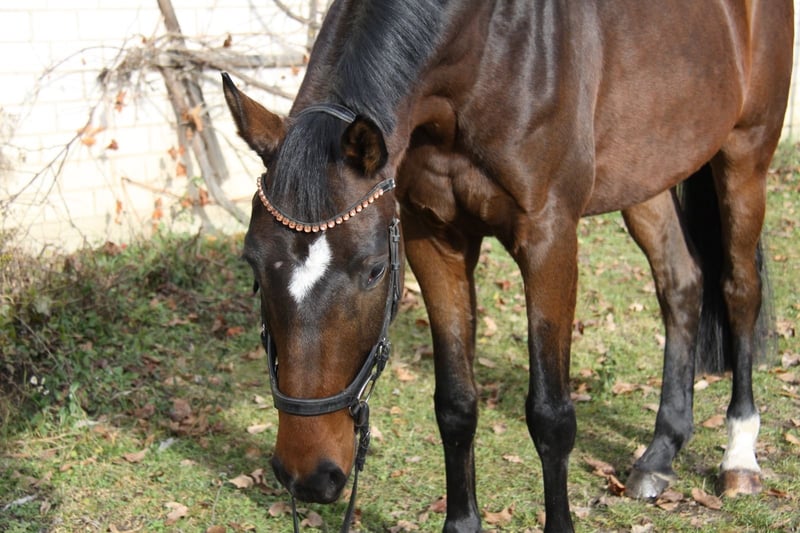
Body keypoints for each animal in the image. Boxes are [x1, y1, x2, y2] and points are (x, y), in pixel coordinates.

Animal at [222, 1, 793, 531]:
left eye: (375, 270)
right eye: (254, 269)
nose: (307, 475)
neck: (486, 49)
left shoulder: (549, 239)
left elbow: (551, 416)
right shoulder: (435, 238)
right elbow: (455, 405)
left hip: (745, 155)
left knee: (740, 289)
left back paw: (739, 455)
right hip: (646, 173)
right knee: (680, 283)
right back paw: (660, 454)